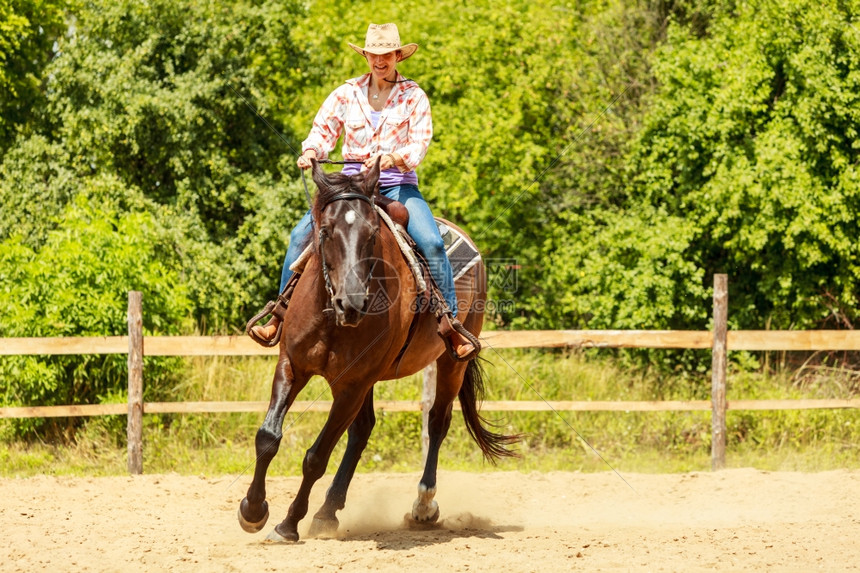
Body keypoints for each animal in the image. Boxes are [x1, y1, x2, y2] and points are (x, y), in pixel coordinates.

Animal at [237, 158, 516, 540]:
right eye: (325, 231)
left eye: (372, 234)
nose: (352, 302)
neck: (331, 318)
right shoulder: (294, 366)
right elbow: (267, 437)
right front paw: (252, 511)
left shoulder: (352, 386)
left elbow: (316, 457)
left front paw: (289, 523)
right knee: (362, 431)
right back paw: (328, 511)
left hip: (449, 363)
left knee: (436, 421)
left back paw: (422, 506)